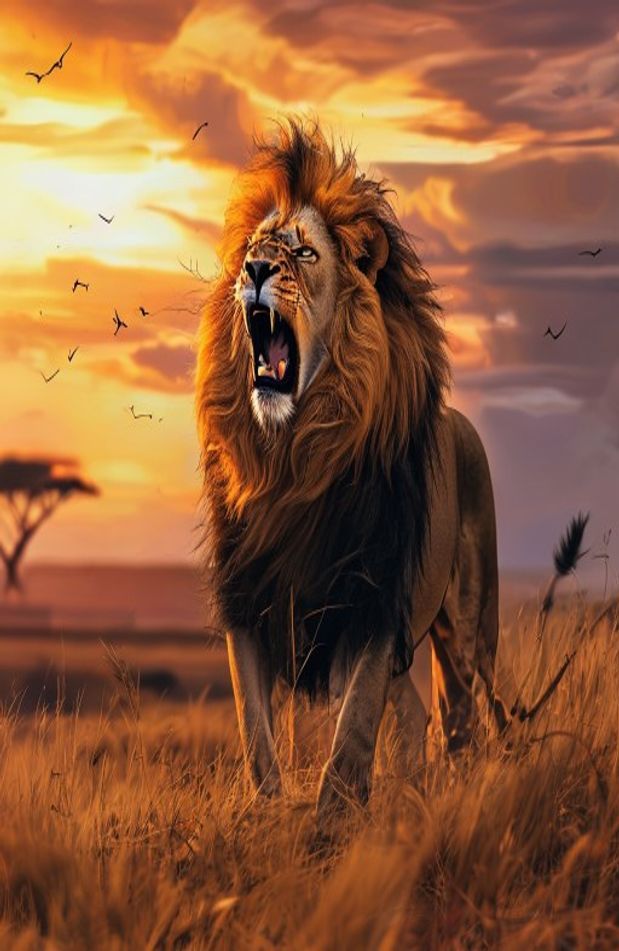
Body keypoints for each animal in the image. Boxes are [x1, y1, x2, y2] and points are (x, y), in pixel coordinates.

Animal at [195, 116, 507, 817]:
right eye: (254, 247)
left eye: (304, 254)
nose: (255, 269)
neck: (291, 461)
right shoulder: (251, 599)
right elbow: (256, 731)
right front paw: (272, 814)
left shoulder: (370, 597)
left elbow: (354, 726)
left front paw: (333, 820)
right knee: (421, 713)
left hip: (472, 619)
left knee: (476, 708)